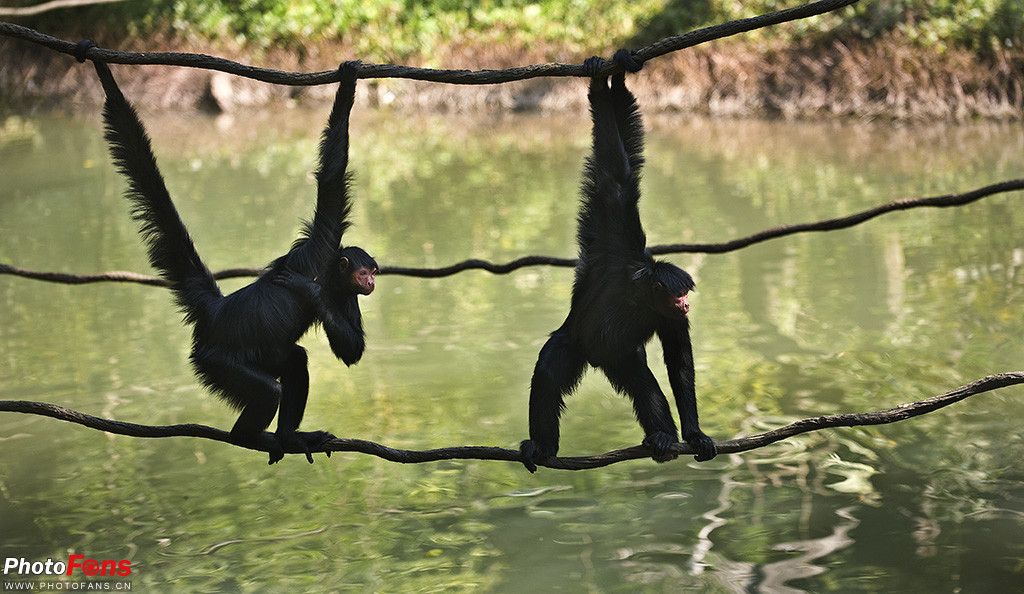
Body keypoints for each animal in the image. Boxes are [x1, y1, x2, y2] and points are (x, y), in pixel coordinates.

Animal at [75, 40, 378, 464]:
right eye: (364, 272)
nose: (371, 282)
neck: (330, 272)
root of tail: (215, 312)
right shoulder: (323, 240)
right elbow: (332, 173)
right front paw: (348, 85)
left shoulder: (345, 294)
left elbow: (352, 350)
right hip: (217, 361)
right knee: (269, 388)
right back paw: (250, 436)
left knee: (294, 362)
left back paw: (288, 436)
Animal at [516, 48, 716, 471]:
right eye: (678, 294)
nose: (686, 303)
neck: (639, 294)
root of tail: (593, 359)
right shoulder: (616, 241)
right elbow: (617, 171)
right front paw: (604, 80)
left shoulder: (668, 314)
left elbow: (679, 364)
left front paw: (694, 433)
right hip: (573, 340)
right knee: (548, 372)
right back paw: (542, 445)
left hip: (615, 357)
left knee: (641, 381)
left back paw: (663, 439)